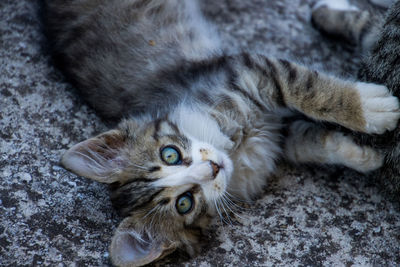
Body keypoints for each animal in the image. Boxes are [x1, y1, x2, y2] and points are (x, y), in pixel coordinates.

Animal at [43, 1, 400, 266]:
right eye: (185, 203)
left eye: (170, 154)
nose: (213, 168)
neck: (232, 148)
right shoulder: (274, 134)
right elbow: (312, 138)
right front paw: (366, 153)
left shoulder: (249, 72)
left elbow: (310, 89)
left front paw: (371, 107)